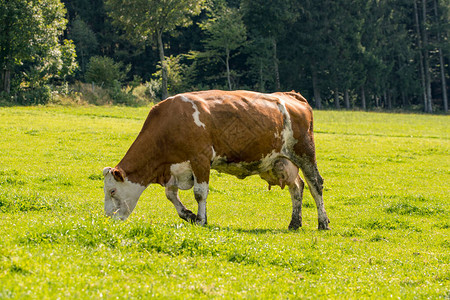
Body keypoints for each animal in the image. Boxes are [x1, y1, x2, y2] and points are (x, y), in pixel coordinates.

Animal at [103, 89, 330, 230]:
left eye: (112, 191)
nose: (107, 219)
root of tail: (290, 96)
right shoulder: (173, 168)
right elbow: (171, 195)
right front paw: (189, 215)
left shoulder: (200, 159)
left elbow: (199, 193)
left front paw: (201, 220)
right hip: (282, 162)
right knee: (297, 187)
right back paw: (294, 223)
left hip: (305, 153)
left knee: (315, 184)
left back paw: (323, 222)